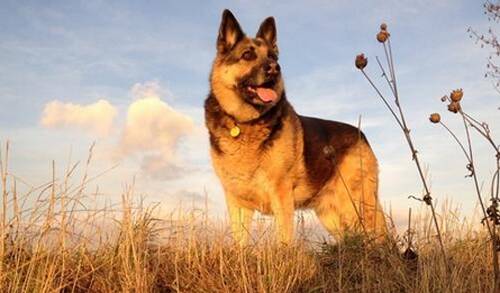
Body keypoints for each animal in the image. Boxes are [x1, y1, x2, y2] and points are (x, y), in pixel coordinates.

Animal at [203, 9, 386, 243]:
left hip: (357, 206)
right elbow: (240, 242)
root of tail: (362, 135)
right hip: (332, 216)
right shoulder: (237, 202)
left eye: (272, 57)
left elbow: (284, 239)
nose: (275, 68)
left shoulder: (281, 195)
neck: (244, 122)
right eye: (247, 55)